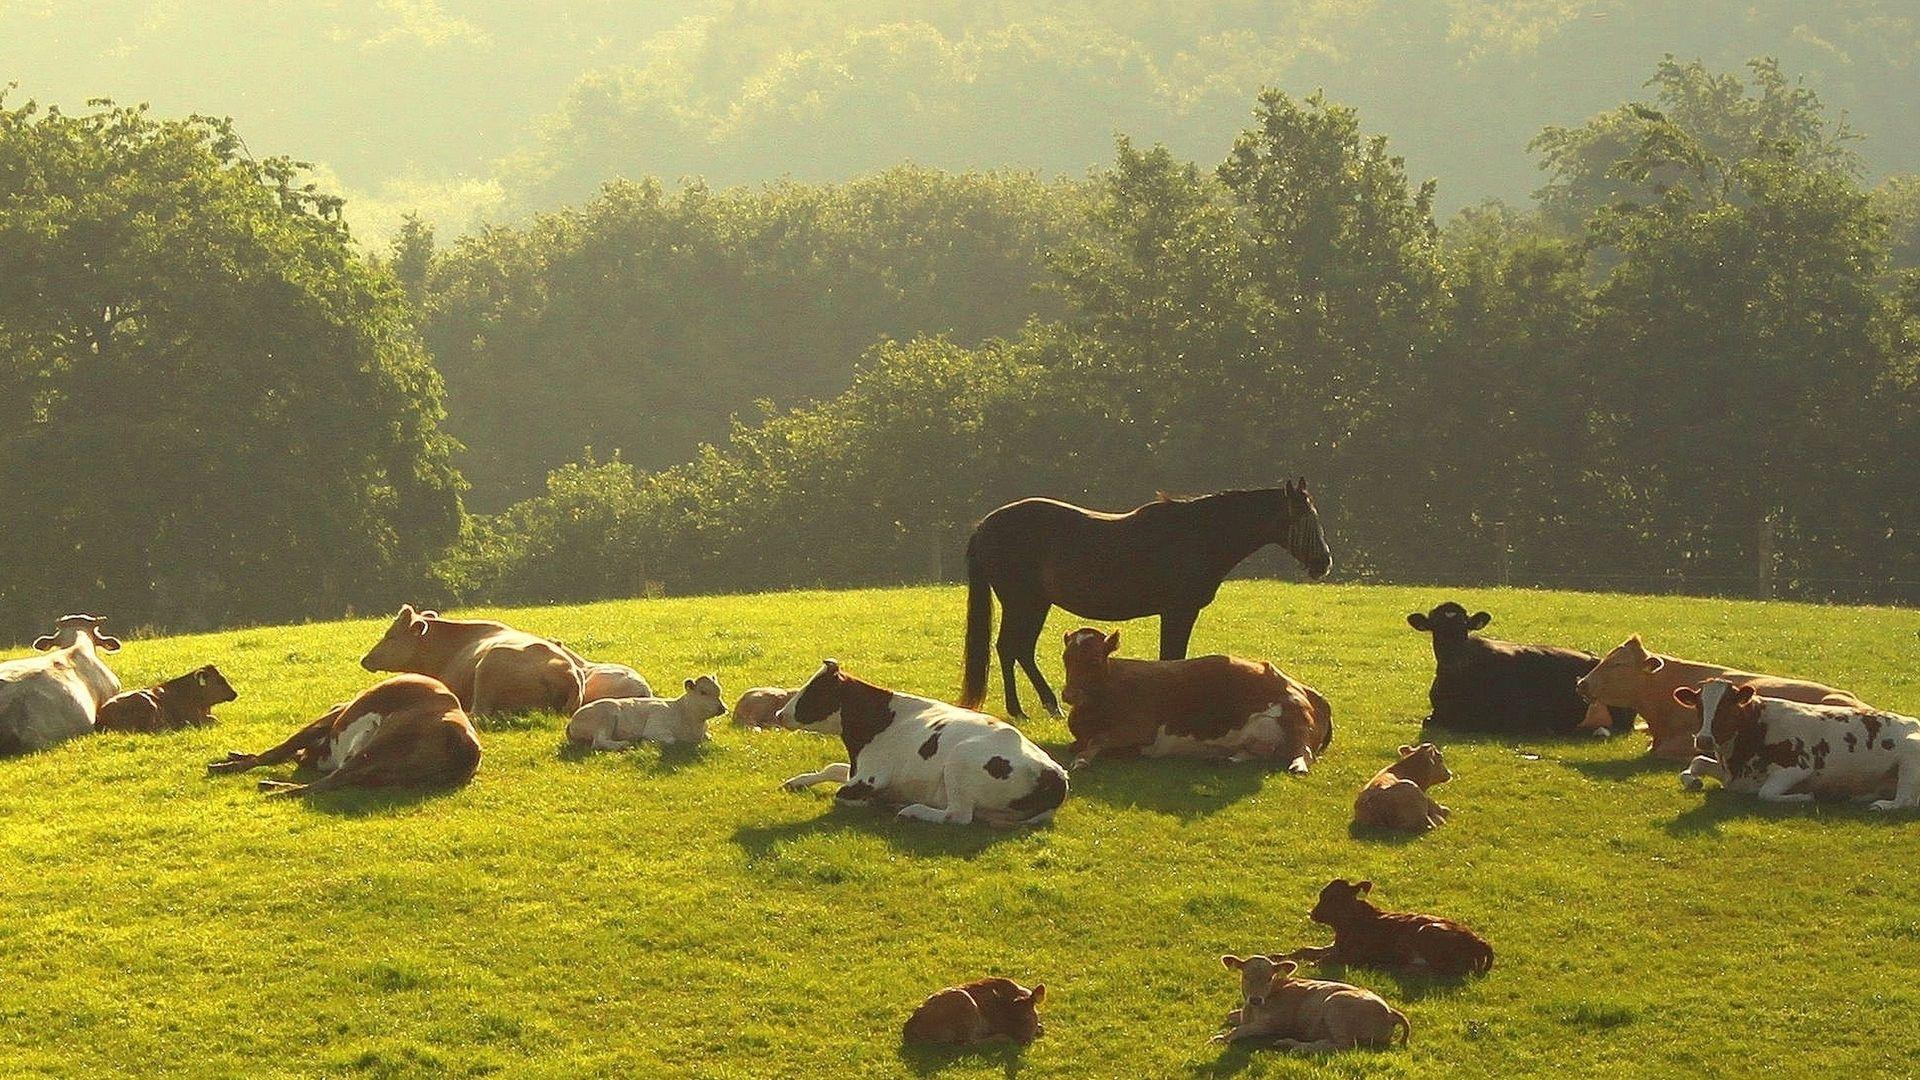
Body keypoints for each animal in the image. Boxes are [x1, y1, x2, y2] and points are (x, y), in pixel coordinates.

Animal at [959, 480, 1332, 719]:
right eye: (1305, 518)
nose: (1323, 562)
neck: (1199, 535)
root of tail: (985, 525)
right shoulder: (1178, 612)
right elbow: (1172, 657)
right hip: (1023, 603)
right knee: (1010, 648)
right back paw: (1022, 709)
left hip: (1034, 604)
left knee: (1018, 649)